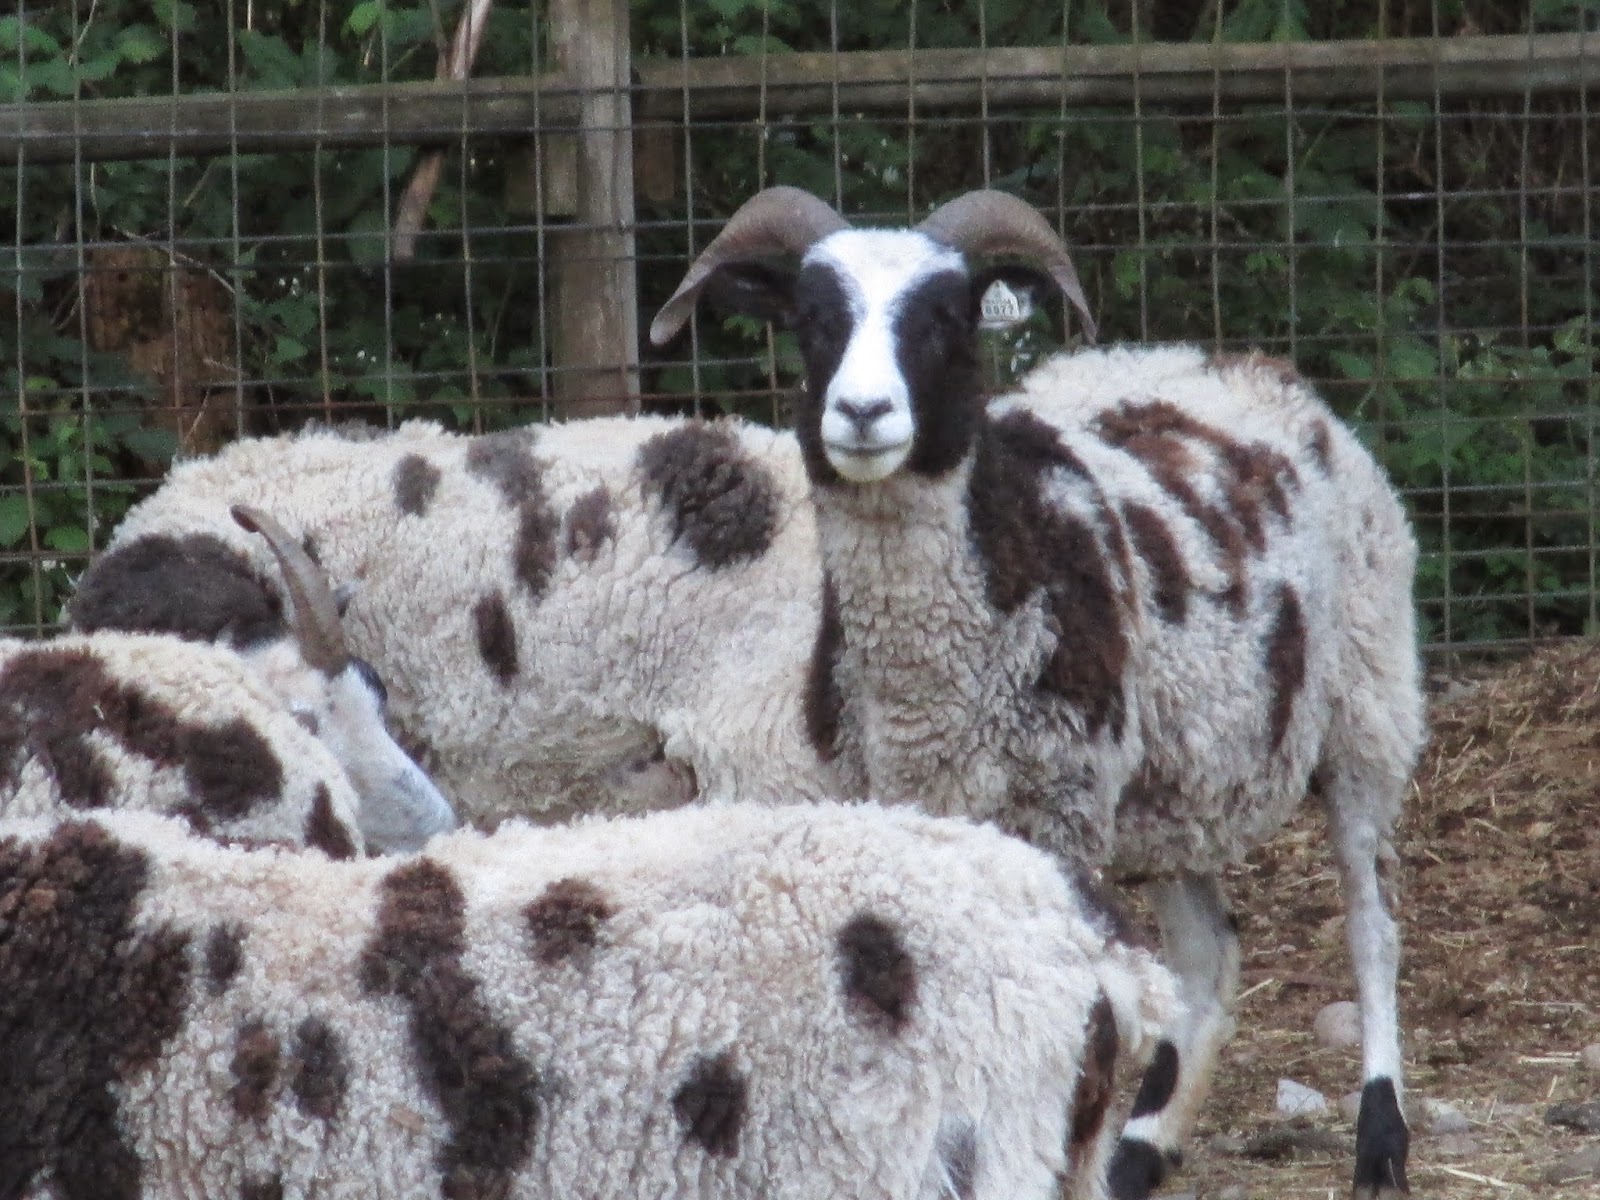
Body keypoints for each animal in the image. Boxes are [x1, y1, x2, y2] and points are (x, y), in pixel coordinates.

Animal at [649, 186, 1426, 1200]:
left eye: (943, 319)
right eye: (813, 320)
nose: (862, 413)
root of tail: (1248, 363)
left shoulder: (1059, 802)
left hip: (1370, 702)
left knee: (1372, 921)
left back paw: (1380, 1137)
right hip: (1173, 778)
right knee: (1208, 957)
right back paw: (1140, 1154)